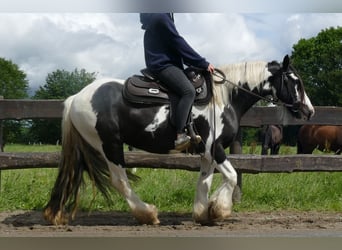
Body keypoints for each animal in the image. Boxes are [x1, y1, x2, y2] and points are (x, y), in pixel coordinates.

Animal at [43, 55, 316, 226]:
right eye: (295, 82)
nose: (309, 111)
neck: (225, 97)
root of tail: (76, 98)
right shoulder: (214, 148)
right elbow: (231, 176)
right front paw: (219, 209)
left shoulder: (206, 153)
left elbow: (204, 181)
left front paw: (203, 213)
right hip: (110, 146)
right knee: (120, 181)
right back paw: (147, 214)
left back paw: (54, 214)